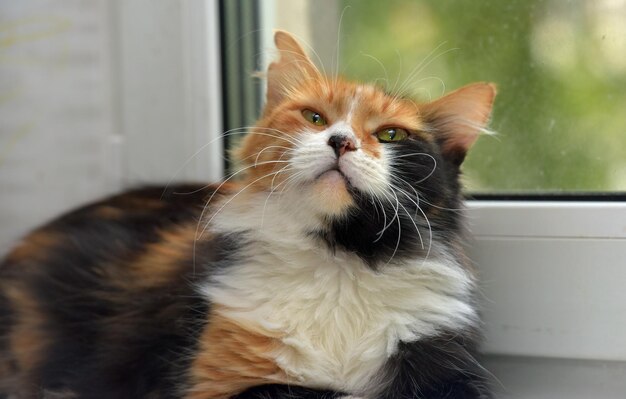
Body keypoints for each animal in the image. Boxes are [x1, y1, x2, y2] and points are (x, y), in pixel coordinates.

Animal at [2, 29, 494, 398]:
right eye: (314, 118)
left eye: (391, 134)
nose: (341, 141)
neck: (338, 261)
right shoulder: (216, 380)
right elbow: (304, 392)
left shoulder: (445, 364)